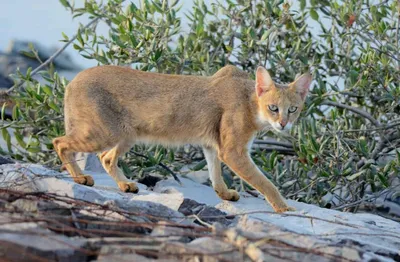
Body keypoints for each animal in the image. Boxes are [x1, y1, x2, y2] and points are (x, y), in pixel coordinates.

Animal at [53, 65, 310, 213]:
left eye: (293, 109)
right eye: (273, 108)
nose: (283, 123)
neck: (250, 103)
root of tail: (73, 80)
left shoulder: (213, 145)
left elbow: (215, 172)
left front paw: (224, 194)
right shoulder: (233, 151)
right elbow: (264, 182)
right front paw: (283, 207)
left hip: (127, 135)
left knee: (106, 158)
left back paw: (125, 185)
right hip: (105, 133)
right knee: (60, 142)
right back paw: (80, 178)